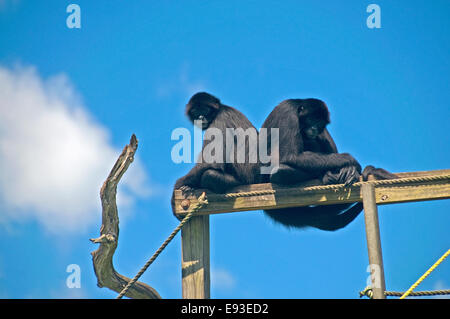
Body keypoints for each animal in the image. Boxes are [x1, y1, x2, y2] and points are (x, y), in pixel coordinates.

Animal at [171, 91, 258, 219]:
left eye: (205, 110)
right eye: (196, 112)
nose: (200, 117)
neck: (221, 109)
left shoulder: (220, 120)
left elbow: (211, 162)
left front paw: (177, 188)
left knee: (210, 174)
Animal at [260, 99, 394, 231]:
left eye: (319, 123)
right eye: (311, 119)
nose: (314, 128)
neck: (296, 105)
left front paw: (349, 168)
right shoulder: (288, 114)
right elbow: (291, 155)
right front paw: (350, 161)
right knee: (281, 170)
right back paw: (325, 175)